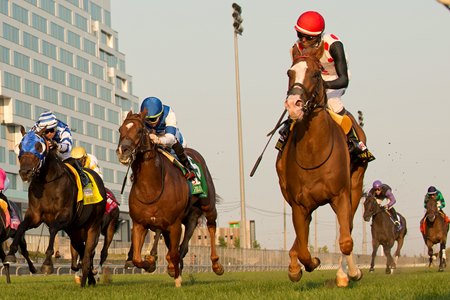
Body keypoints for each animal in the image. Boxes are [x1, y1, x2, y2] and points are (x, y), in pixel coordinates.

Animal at [5, 127, 106, 288]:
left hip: (93, 225)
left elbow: (53, 229)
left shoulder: (65, 216)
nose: (25, 172)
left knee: (88, 253)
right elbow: (21, 226)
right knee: (82, 250)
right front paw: (10, 253)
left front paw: (47, 263)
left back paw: (86, 278)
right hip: (75, 231)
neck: (47, 183)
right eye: (20, 146)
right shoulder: (35, 216)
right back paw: (89, 278)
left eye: (39, 146)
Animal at [115, 110, 222, 286]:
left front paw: (177, 278)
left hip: (208, 206)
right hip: (188, 215)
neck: (151, 188)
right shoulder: (140, 223)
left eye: (139, 130)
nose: (123, 150)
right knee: (185, 239)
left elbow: (173, 252)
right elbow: (138, 258)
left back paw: (216, 264)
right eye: (120, 129)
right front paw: (150, 263)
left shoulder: (174, 224)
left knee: (212, 227)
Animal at [274, 45, 370, 288]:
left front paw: (350, 273)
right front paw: (301, 267)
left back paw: (345, 274)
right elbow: (303, 248)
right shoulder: (299, 204)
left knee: (348, 228)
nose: (293, 105)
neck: (313, 151)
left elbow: (346, 240)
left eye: (316, 74)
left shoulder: (341, 195)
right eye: (289, 73)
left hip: (356, 187)